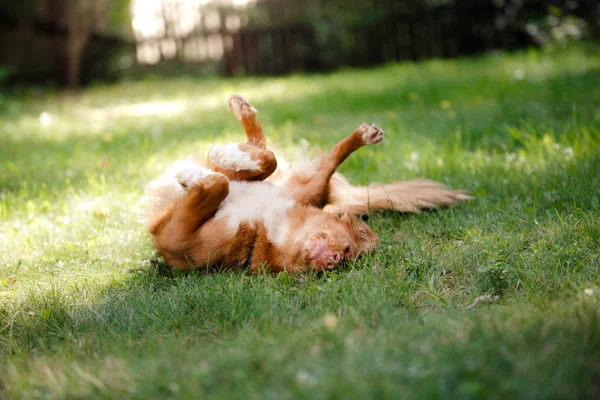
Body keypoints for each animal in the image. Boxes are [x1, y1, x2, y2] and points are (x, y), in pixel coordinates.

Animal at [141, 95, 468, 274]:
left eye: (347, 257)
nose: (334, 260)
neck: (265, 228)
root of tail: (327, 198)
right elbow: (254, 164)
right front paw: (220, 156)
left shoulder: (176, 238)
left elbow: (218, 184)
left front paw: (190, 176)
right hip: (303, 187)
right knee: (268, 151)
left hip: (310, 188)